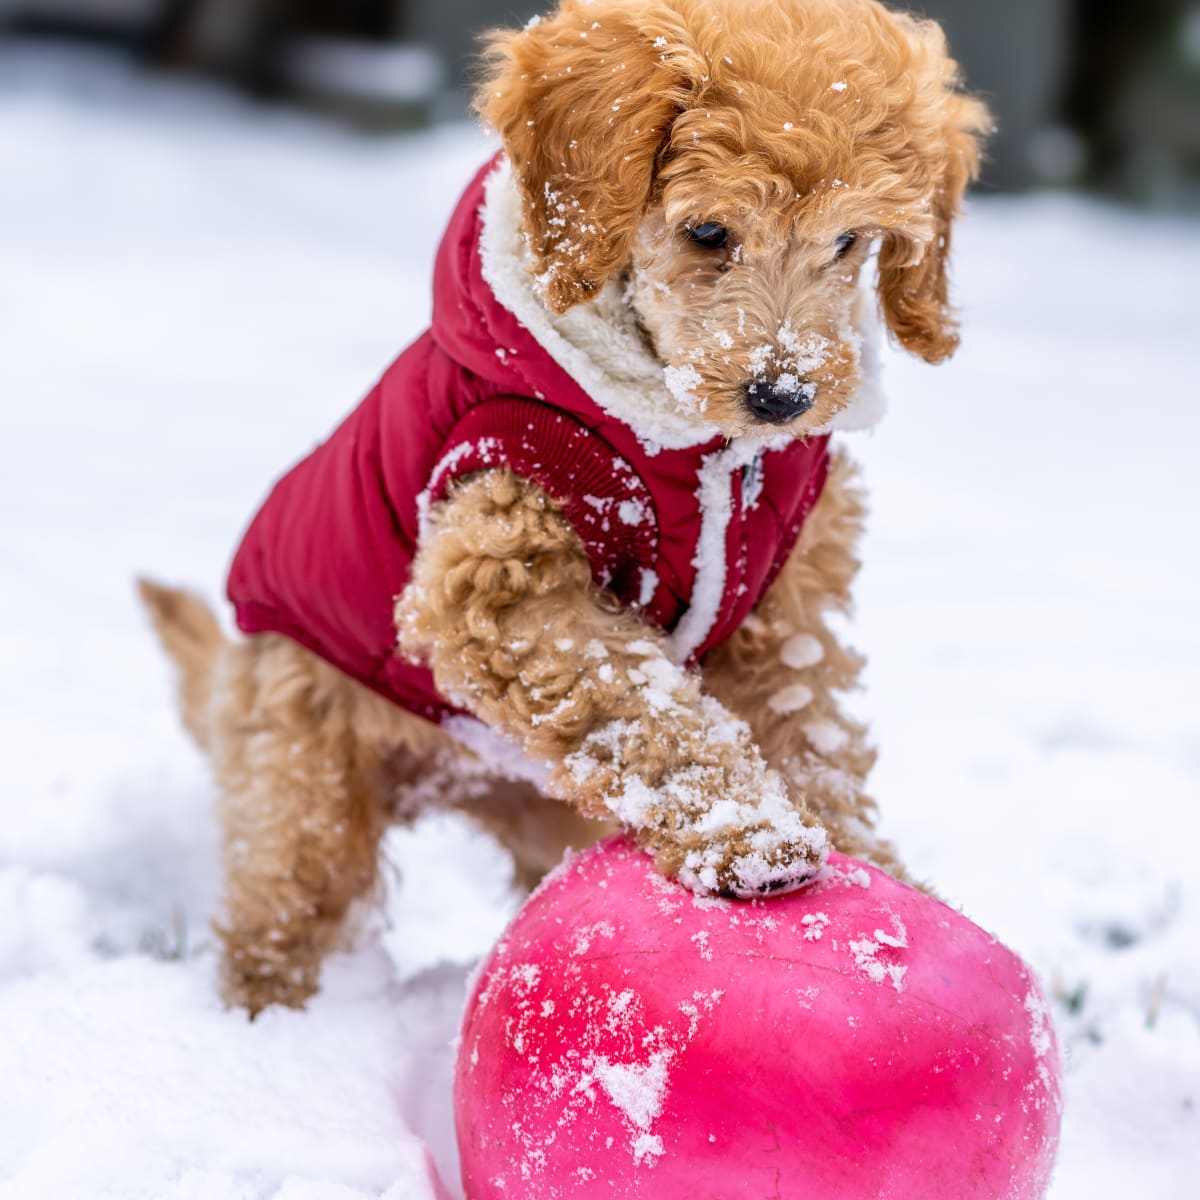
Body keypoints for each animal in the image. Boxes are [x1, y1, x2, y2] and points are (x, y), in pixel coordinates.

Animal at [140, 0, 988, 1012]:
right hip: (304, 775)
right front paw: (750, 838)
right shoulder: (502, 568)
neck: (698, 451)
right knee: (282, 904)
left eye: (851, 242)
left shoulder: (786, 604)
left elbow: (810, 732)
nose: (783, 398)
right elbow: (642, 704)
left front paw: (877, 869)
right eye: (709, 233)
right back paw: (261, 1020)